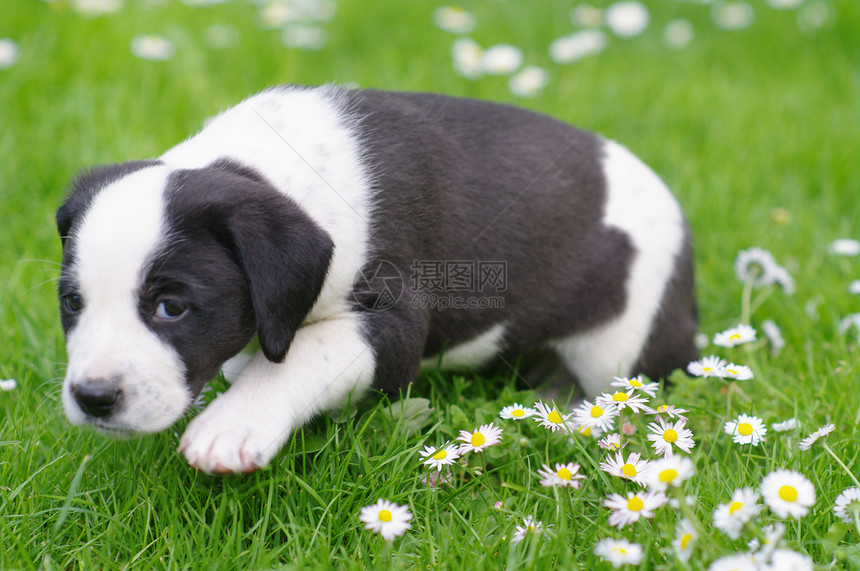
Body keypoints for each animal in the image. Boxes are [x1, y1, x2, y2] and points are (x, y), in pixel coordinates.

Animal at [55, 86, 700, 474]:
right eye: (72, 303)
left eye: (172, 308)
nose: (92, 398)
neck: (266, 169)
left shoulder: (392, 325)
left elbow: (305, 352)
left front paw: (234, 421)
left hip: (625, 346)